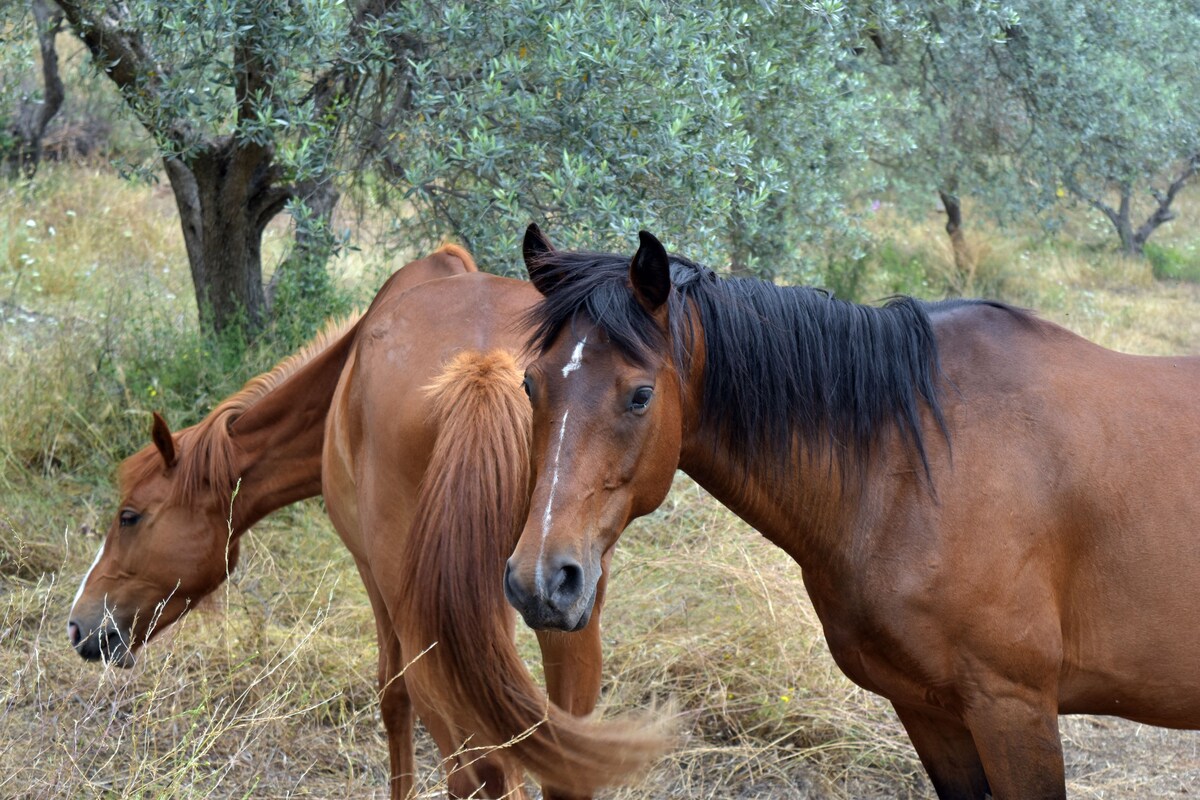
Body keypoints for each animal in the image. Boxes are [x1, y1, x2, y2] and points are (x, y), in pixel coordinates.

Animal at [65, 245, 672, 800]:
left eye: (129, 516)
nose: (78, 625)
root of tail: (484, 368)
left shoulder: (374, 581)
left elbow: (392, 696)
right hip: (560, 609)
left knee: (478, 769)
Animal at [501, 225, 1200, 800]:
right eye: (530, 385)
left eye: (641, 394)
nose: (541, 581)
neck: (916, 465)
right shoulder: (929, 709)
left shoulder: (1013, 706)